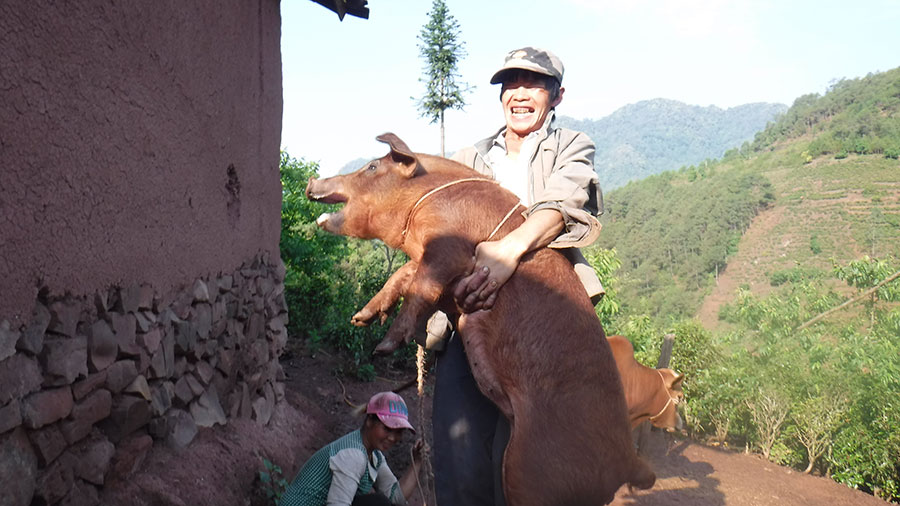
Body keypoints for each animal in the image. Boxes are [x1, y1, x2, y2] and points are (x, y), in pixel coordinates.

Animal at [306, 133, 655, 506]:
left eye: (372, 166)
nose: (312, 182)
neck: (425, 200)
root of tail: (631, 463)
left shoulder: (448, 249)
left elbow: (420, 285)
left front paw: (385, 345)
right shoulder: (431, 262)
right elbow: (404, 275)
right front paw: (361, 318)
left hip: (530, 472)